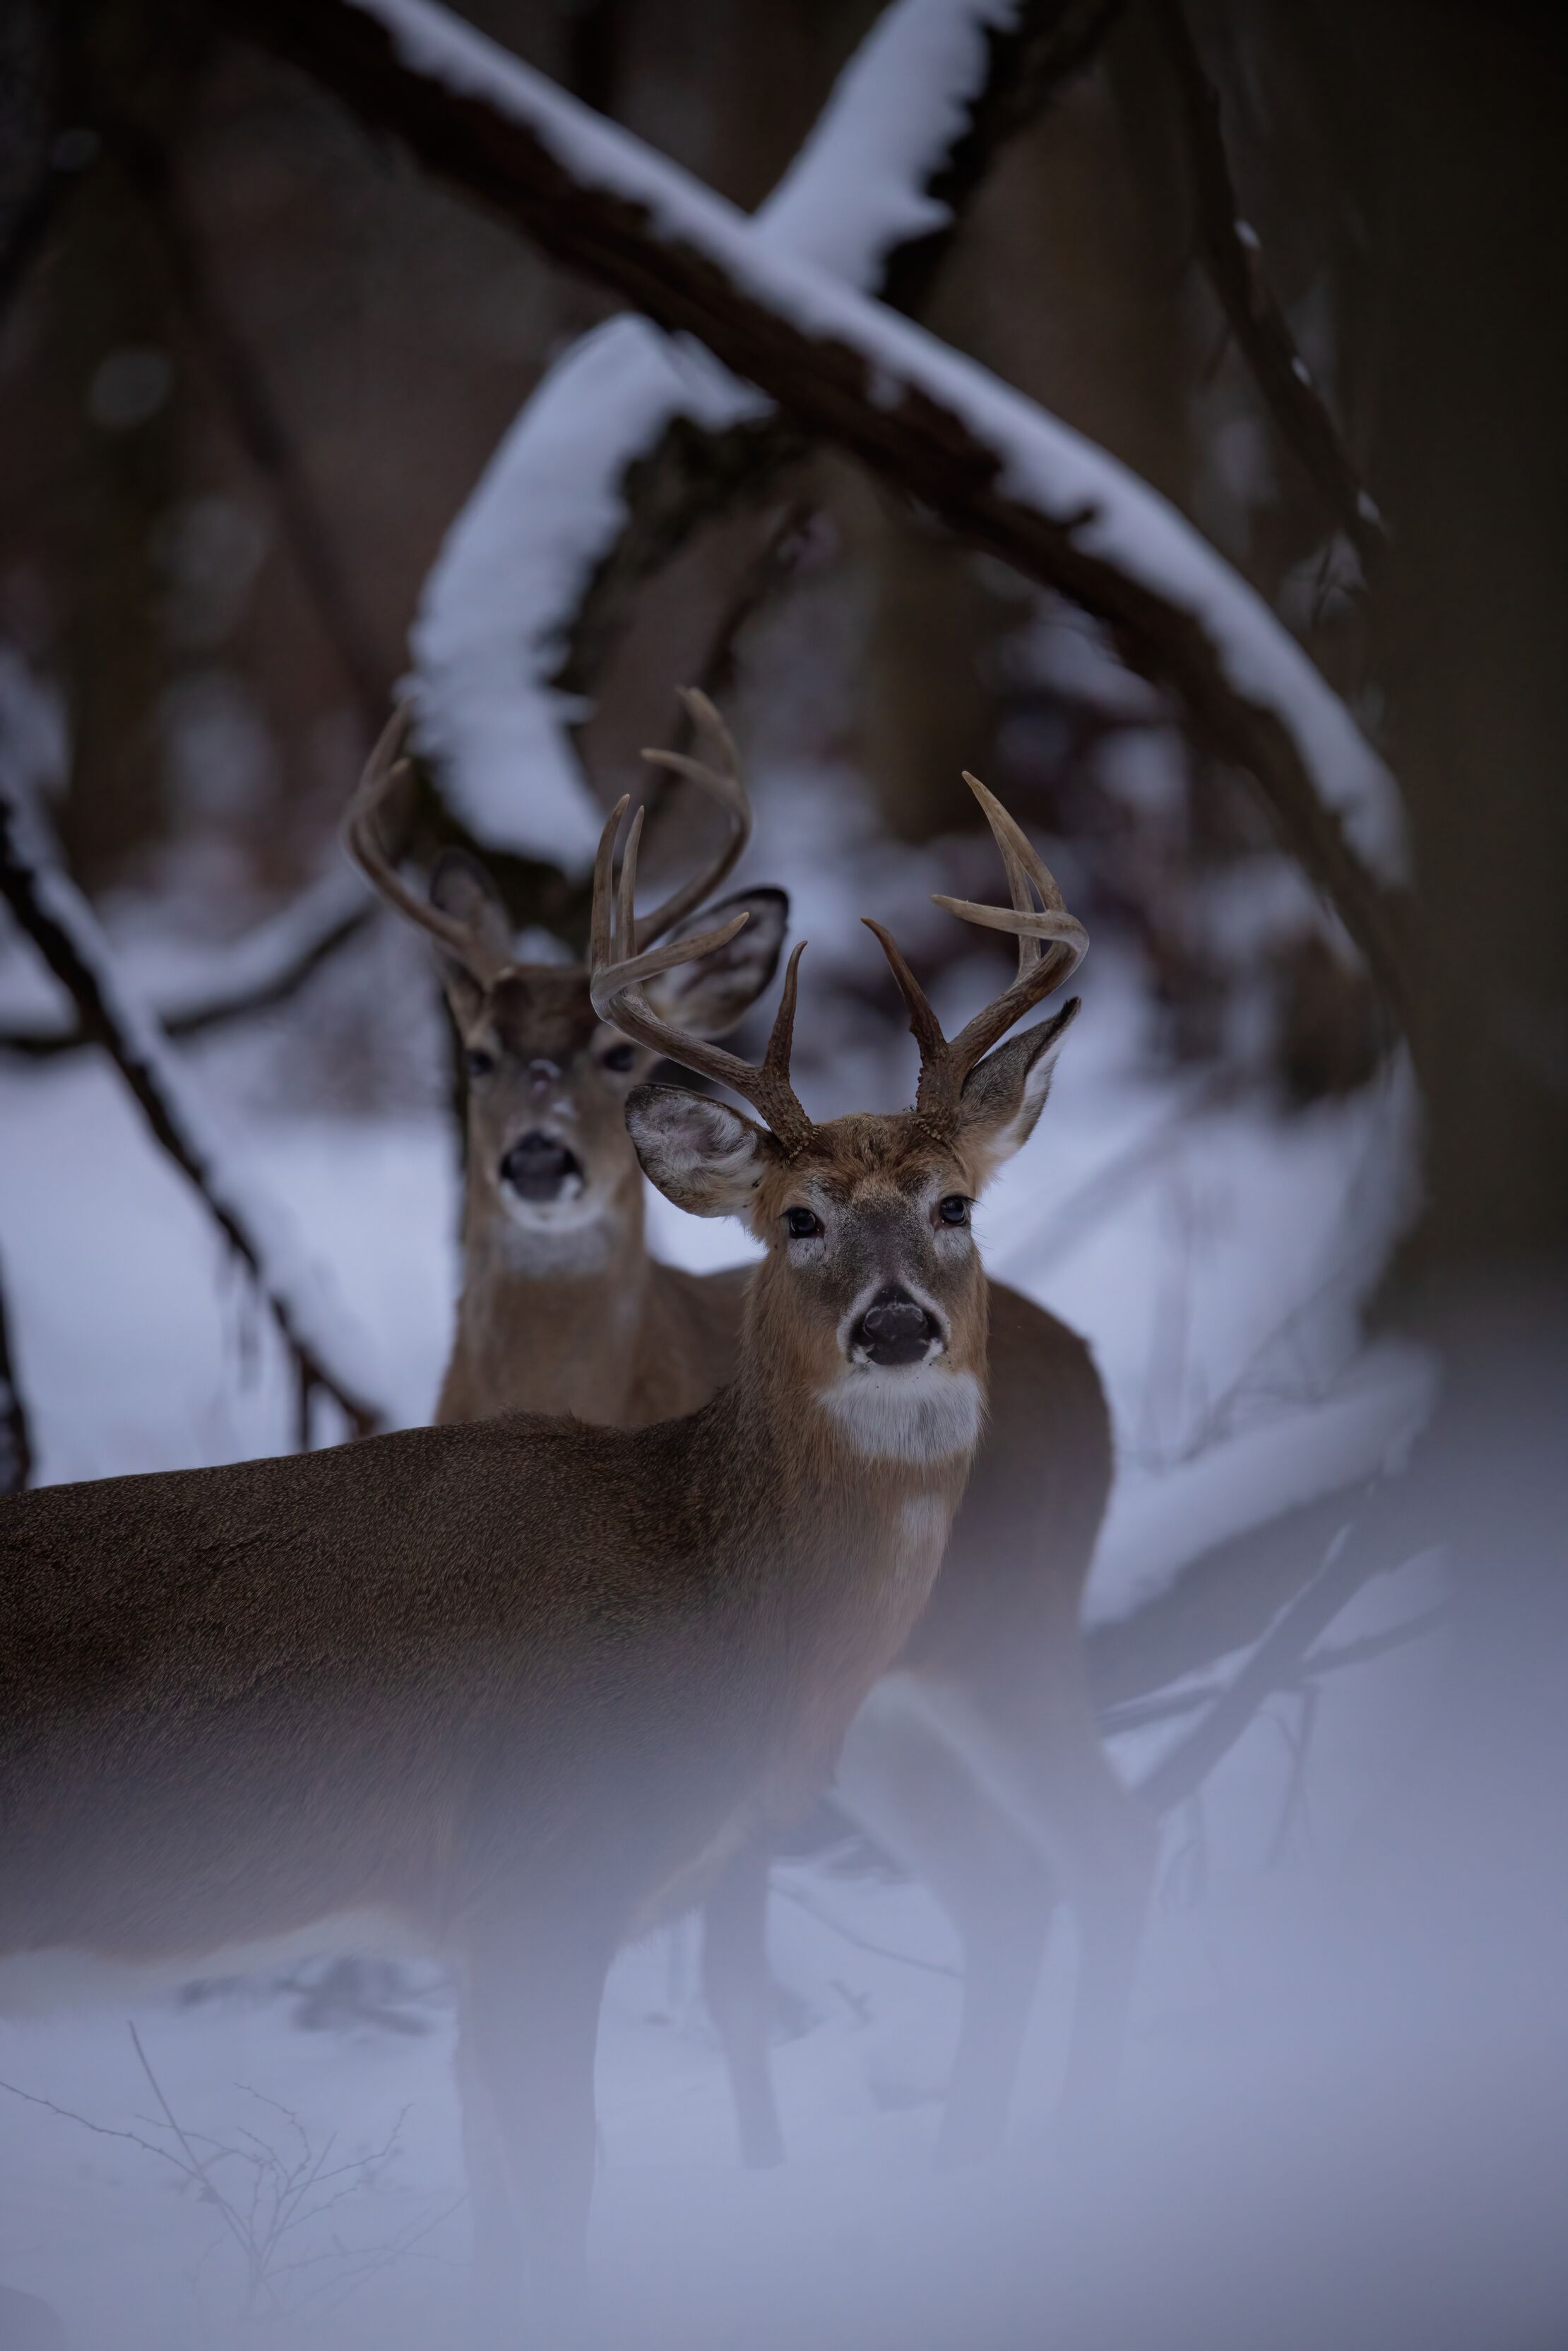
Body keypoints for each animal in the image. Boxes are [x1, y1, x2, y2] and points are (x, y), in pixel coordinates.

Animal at [0, 750, 1093, 2337]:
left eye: (957, 1203)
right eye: (797, 1216)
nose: (896, 1324)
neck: (709, 1587)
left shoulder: (485, 1921)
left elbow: (506, 2207)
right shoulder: (542, 1876)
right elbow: (559, 2199)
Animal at [352, 694, 1156, 2175]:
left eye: (954, 1200)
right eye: (798, 1214)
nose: (895, 1321)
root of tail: (1089, 1370)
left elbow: (726, 1973)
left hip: (1007, 1630)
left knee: (1107, 1844)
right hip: (896, 1712)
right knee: (1012, 1884)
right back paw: (968, 2158)